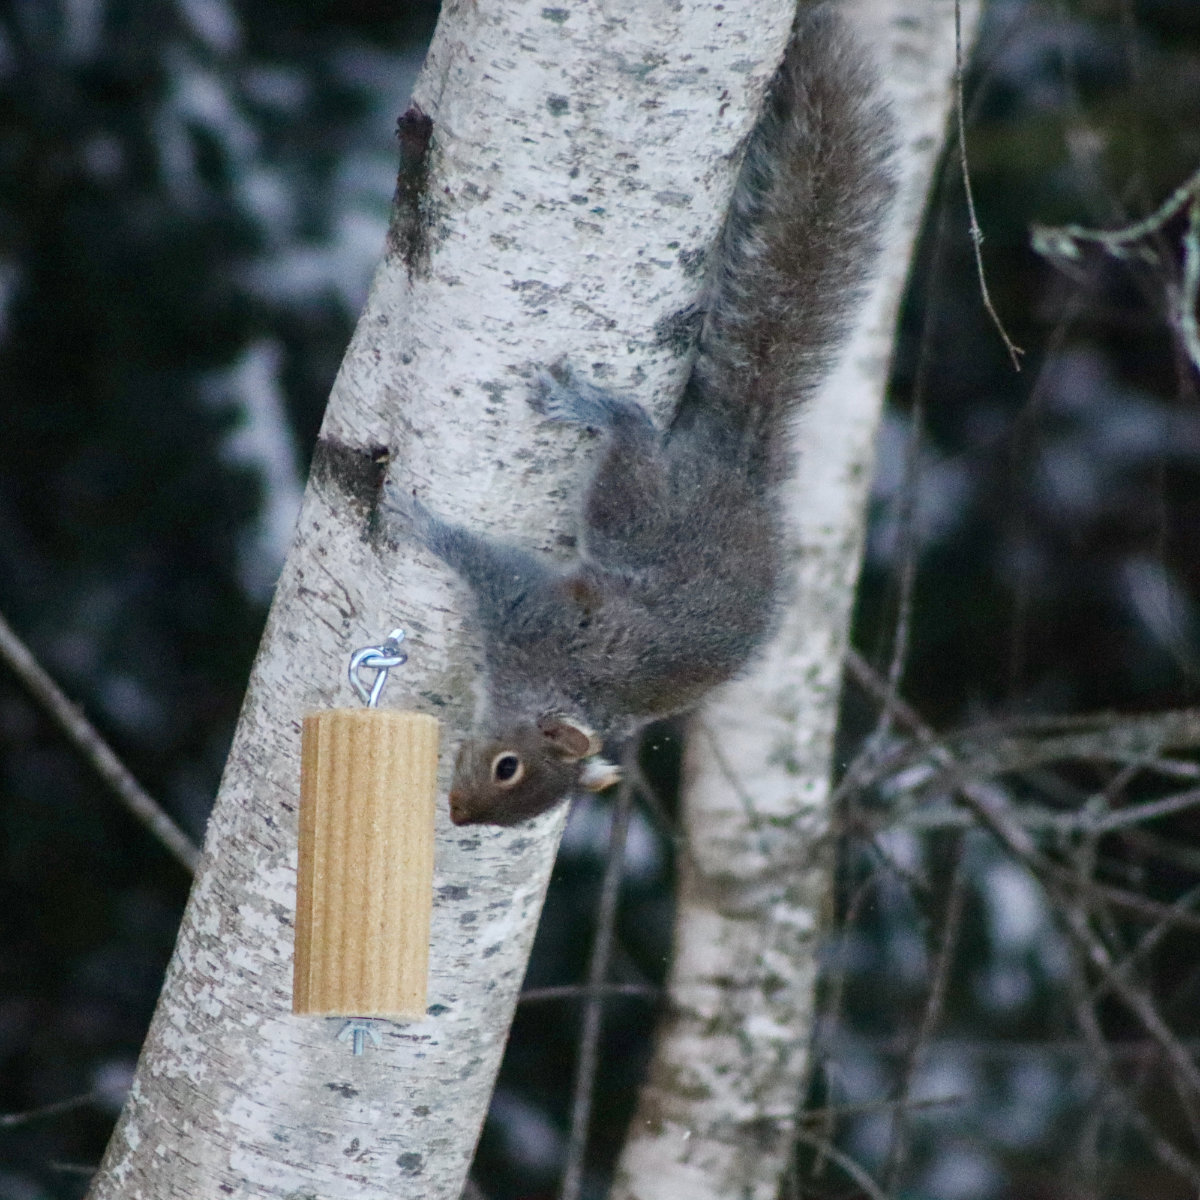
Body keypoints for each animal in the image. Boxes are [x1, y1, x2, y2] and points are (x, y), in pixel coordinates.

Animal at [384, 4, 892, 825]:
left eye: (511, 778)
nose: (458, 814)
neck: (568, 686)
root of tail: (735, 469)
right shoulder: (536, 617)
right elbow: (488, 563)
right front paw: (420, 521)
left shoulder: (531, 621)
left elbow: (484, 563)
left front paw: (419, 522)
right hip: (642, 513)